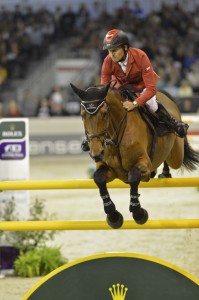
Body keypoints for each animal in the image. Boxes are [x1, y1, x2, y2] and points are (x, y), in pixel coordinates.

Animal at [70, 83, 199, 229]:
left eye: (104, 113)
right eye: (82, 115)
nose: (96, 153)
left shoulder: (143, 164)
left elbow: (133, 177)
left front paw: (139, 213)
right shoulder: (110, 170)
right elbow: (99, 178)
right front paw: (113, 216)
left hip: (176, 155)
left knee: (172, 158)